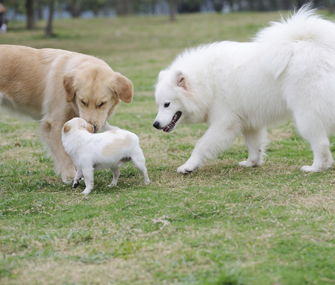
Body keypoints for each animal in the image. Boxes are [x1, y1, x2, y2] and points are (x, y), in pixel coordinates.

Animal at [154, 6, 335, 174]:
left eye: (167, 104)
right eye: (158, 104)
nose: (155, 124)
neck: (206, 82)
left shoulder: (225, 122)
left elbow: (201, 144)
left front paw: (188, 166)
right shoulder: (249, 121)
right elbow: (254, 145)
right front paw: (251, 163)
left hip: (306, 113)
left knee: (320, 143)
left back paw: (315, 167)